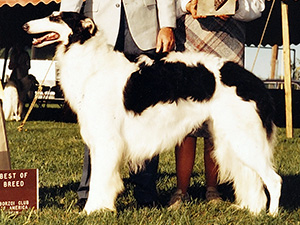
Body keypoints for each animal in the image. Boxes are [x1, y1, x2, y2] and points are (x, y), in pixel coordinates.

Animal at [23, 11, 282, 214]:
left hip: (243, 138)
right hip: (232, 139)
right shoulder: (98, 142)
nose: (24, 26)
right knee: (255, 182)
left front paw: (92, 211)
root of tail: (254, 82)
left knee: (274, 180)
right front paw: (99, 208)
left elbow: (100, 181)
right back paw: (251, 210)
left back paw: (271, 214)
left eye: (55, 17)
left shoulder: (107, 141)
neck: (94, 64)